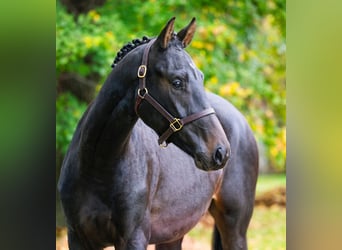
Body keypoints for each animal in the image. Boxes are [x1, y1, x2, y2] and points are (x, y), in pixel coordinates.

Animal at [58, 17, 260, 250]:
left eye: (200, 77)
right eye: (177, 81)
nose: (220, 151)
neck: (97, 165)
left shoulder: (133, 238)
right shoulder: (77, 238)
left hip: (234, 228)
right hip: (174, 232)